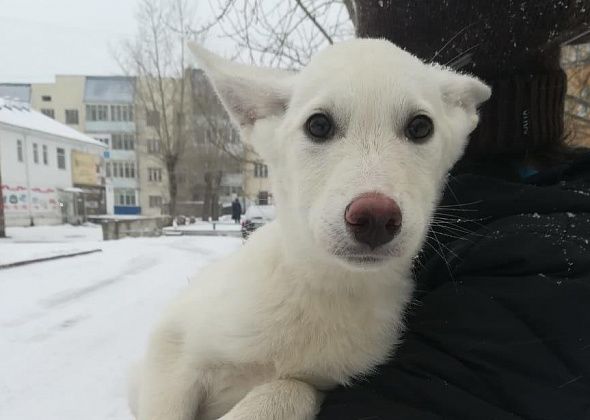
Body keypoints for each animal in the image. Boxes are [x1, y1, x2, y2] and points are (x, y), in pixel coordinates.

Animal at [132, 37, 492, 418]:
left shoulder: (323, 382)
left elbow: (290, 387)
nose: (375, 217)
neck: (321, 285)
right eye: (318, 125)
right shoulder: (169, 347)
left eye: (421, 127)